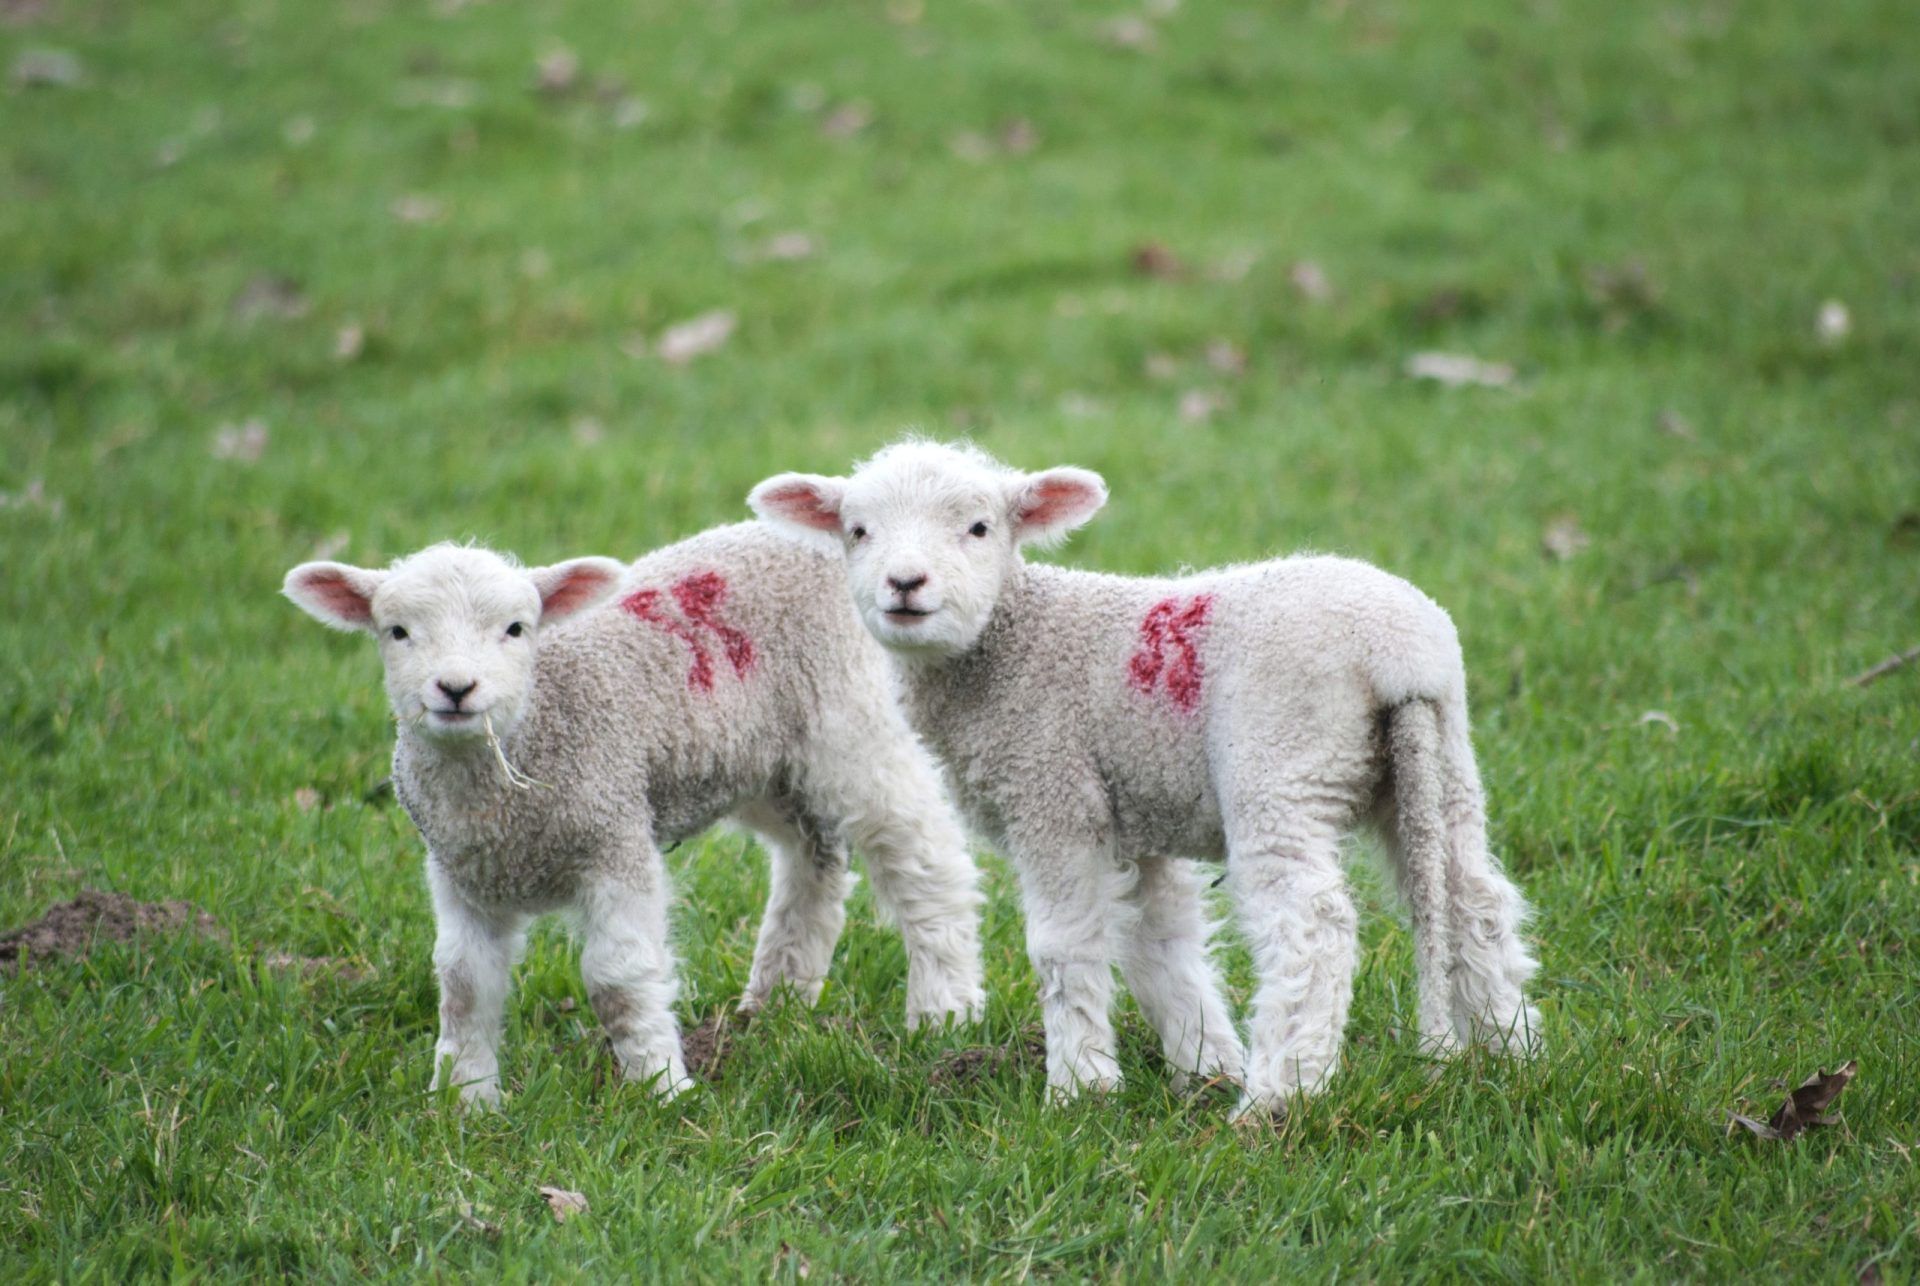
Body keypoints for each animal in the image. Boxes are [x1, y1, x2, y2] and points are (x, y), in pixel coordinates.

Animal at [283, 524, 986, 1107]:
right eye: (397, 632)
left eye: (516, 629)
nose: (456, 689)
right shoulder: (462, 875)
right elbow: (463, 985)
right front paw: (465, 1104)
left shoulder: (613, 837)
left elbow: (617, 982)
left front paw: (661, 1089)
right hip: (763, 761)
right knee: (813, 858)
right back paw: (776, 1002)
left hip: (855, 718)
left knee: (926, 861)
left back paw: (945, 1013)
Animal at [750, 441, 1540, 1116]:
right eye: (856, 531)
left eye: (978, 527)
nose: (905, 585)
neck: (1012, 646)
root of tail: (1400, 654)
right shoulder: (1138, 817)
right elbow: (1161, 946)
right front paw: (1204, 1064)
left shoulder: (1053, 792)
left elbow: (1064, 945)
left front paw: (1080, 1088)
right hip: (1438, 763)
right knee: (1473, 898)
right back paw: (1513, 1055)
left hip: (1281, 762)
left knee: (1312, 926)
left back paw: (1279, 1098)